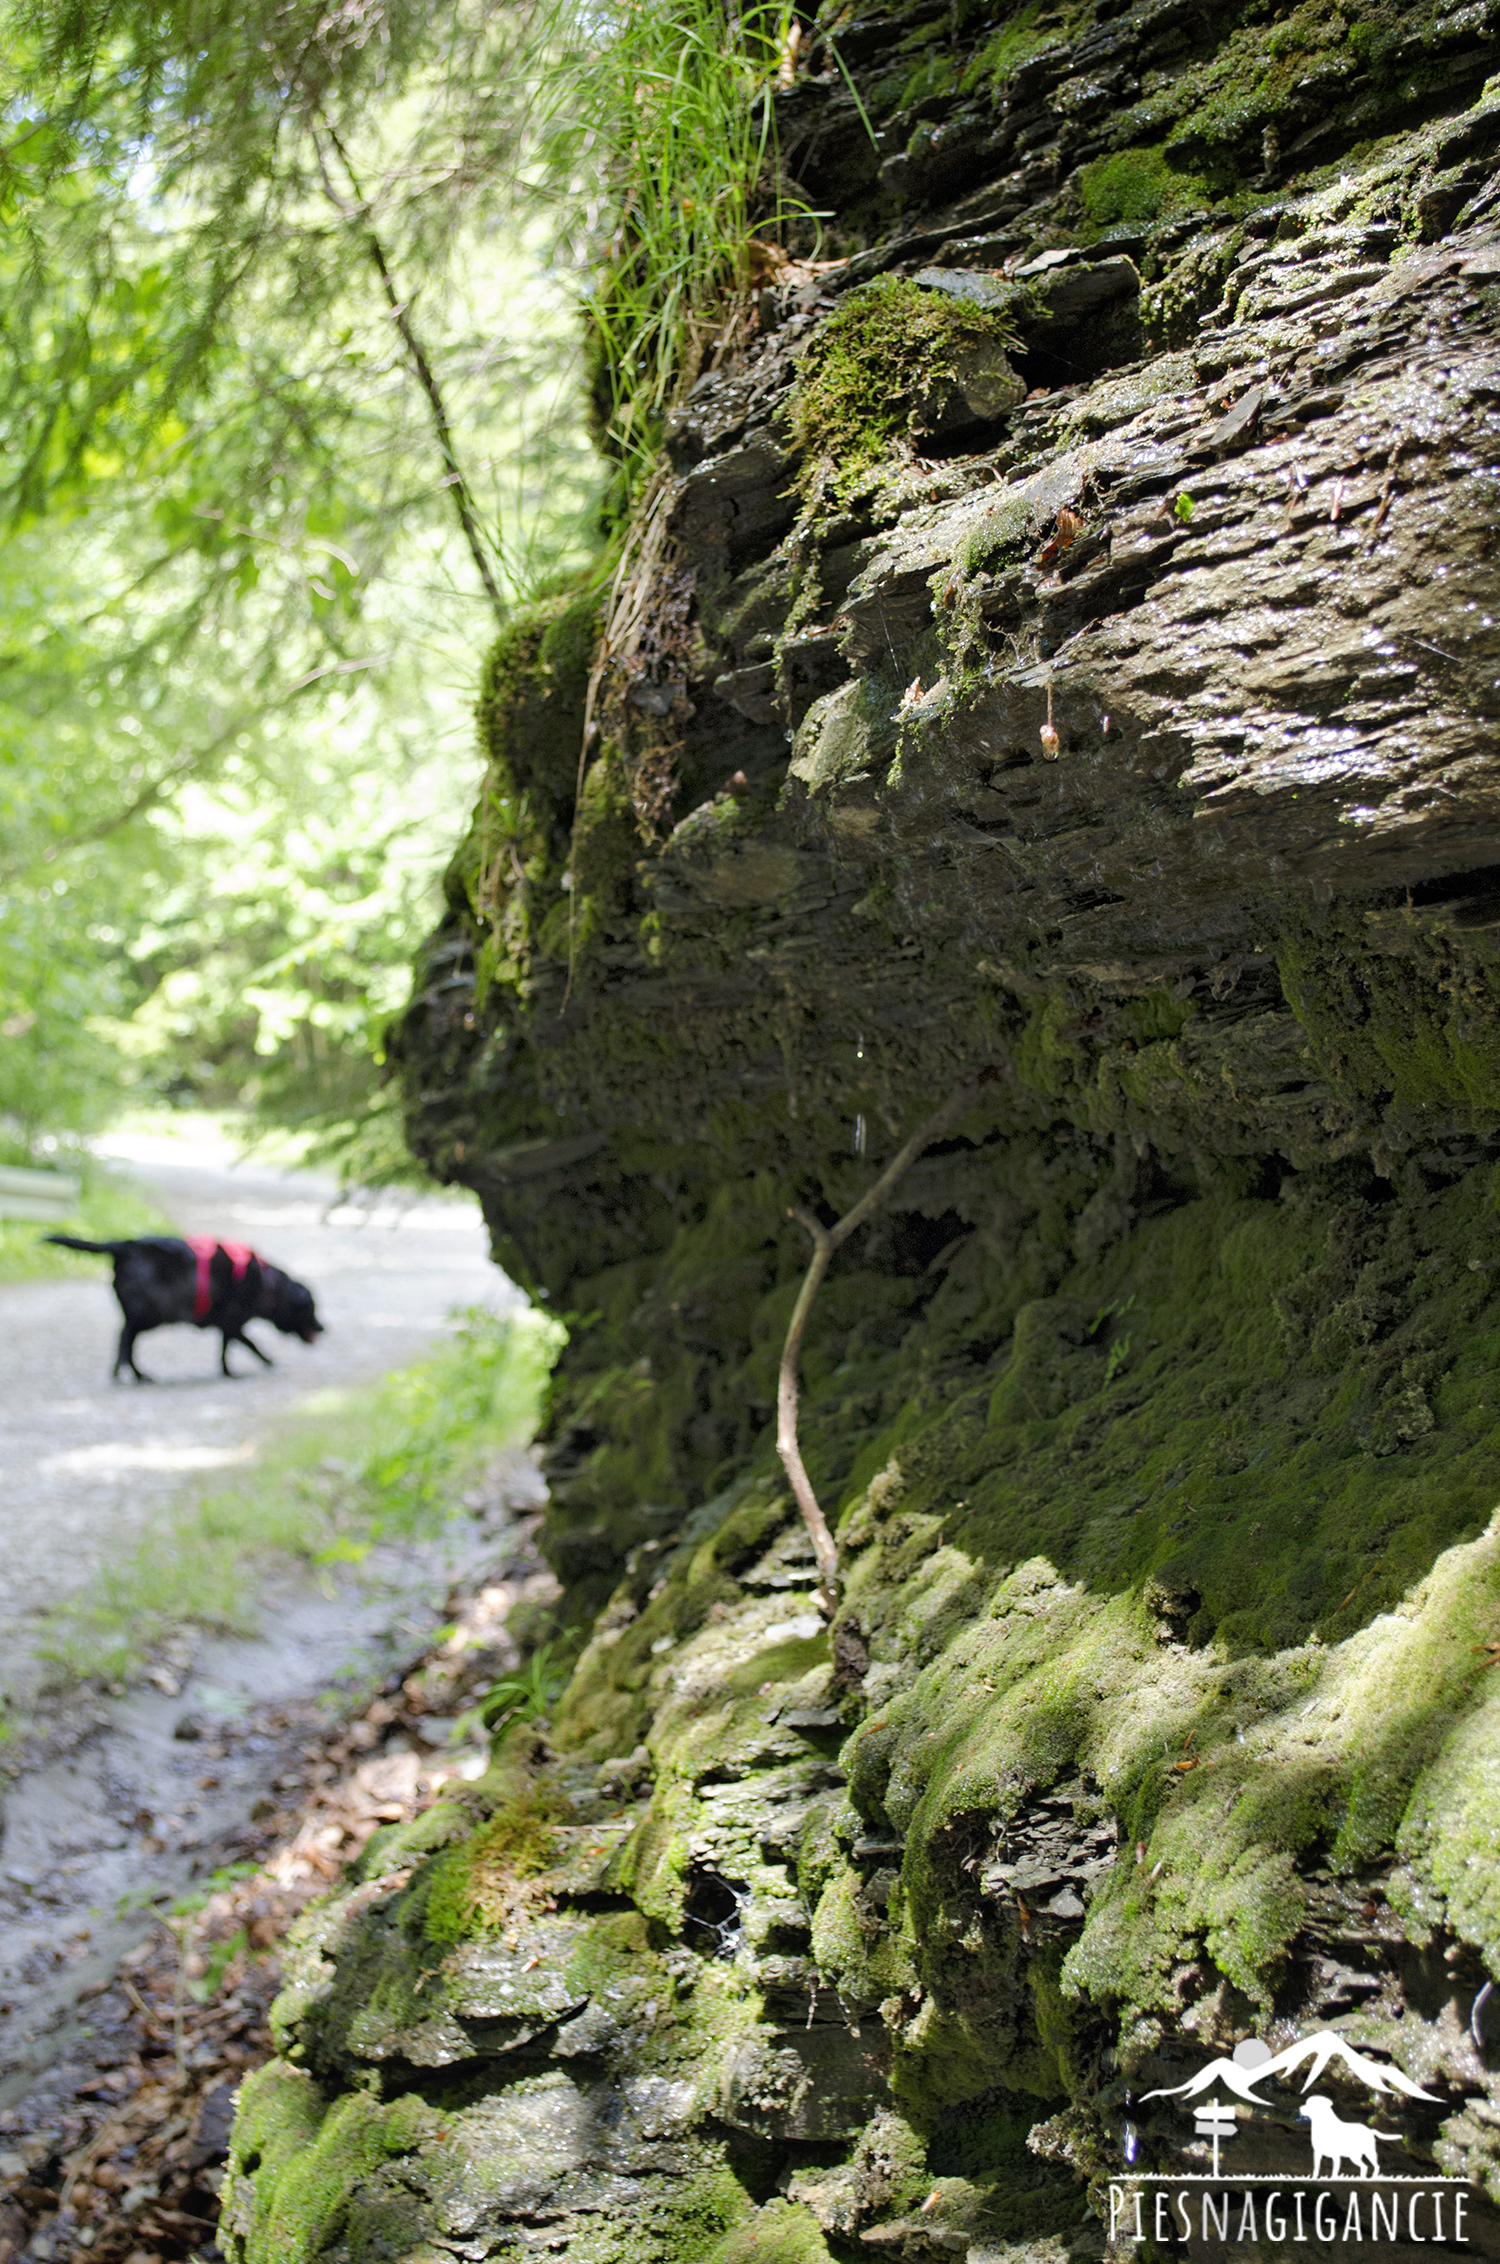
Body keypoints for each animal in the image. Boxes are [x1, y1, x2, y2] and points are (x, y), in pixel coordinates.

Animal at [47, 1240, 325, 1376]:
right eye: (312, 1308)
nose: (325, 1328)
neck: (269, 1286)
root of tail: (125, 1246)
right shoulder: (232, 1322)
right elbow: (248, 1344)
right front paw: (265, 1362)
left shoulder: (227, 1327)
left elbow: (226, 1350)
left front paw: (227, 1371)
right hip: (148, 1315)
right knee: (125, 1340)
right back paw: (125, 1373)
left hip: (145, 1318)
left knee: (127, 1343)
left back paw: (136, 1375)